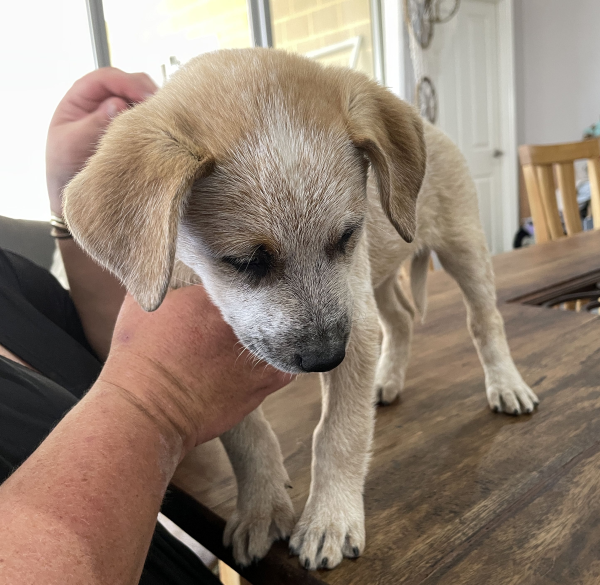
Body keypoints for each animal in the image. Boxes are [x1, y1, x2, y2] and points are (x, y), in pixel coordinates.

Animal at [62, 48, 540, 568]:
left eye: (348, 234)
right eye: (244, 261)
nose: (326, 358)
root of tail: (432, 130)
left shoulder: (356, 324)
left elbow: (339, 434)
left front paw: (330, 520)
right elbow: (246, 439)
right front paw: (260, 508)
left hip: (460, 249)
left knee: (484, 321)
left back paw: (506, 385)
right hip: (379, 281)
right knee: (401, 321)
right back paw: (388, 379)